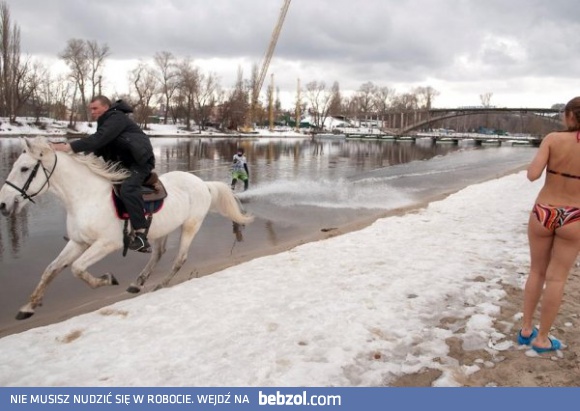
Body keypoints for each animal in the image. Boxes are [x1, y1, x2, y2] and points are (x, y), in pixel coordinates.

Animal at [0, 137, 254, 320]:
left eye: (24, 169)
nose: (3, 204)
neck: (86, 197)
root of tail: (203, 184)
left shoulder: (106, 244)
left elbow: (77, 269)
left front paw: (107, 279)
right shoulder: (78, 242)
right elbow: (51, 269)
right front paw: (29, 306)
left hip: (190, 225)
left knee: (179, 259)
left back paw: (160, 285)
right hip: (163, 229)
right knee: (158, 254)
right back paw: (137, 283)